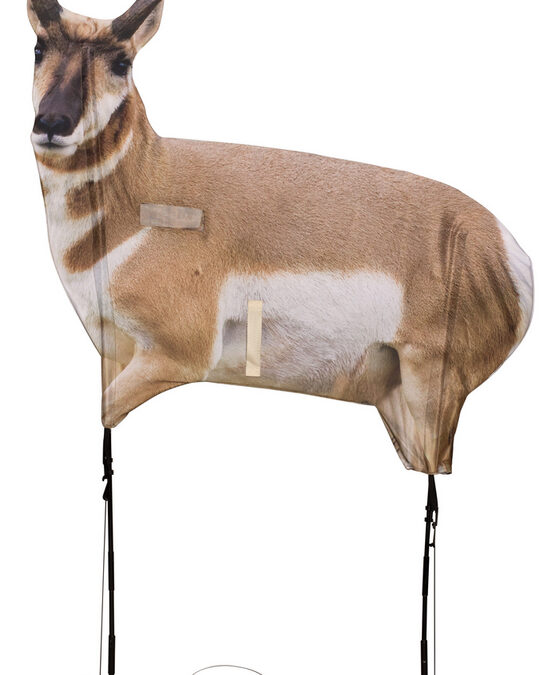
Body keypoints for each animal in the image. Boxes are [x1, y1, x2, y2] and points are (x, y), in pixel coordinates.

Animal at [29, 0, 533, 474]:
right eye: (38, 48)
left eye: (122, 62)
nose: (52, 122)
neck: (150, 186)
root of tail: (506, 249)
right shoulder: (115, 354)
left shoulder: (175, 357)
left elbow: (105, 411)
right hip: (397, 404)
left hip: (429, 394)